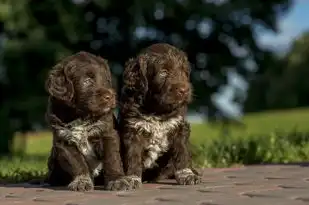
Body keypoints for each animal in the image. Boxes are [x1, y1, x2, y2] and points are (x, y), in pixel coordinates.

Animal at [44, 51, 138, 192]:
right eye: (87, 81)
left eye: (106, 80)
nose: (110, 97)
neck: (82, 115)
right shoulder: (63, 140)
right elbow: (77, 163)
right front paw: (81, 181)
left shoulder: (107, 132)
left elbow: (112, 158)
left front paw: (117, 180)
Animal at [117, 43, 200, 187]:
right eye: (163, 72)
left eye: (183, 71)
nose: (184, 90)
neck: (157, 111)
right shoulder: (132, 130)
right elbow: (133, 156)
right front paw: (132, 178)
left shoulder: (179, 126)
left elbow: (182, 152)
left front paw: (187, 175)